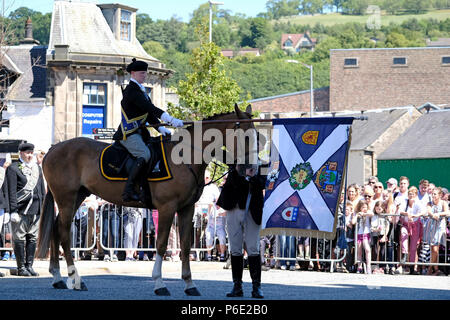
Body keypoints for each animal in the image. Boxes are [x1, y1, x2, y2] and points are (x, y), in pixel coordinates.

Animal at [36, 104, 255, 296]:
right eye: (245, 136)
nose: (252, 168)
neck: (185, 156)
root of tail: (53, 149)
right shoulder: (167, 208)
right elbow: (161, 244)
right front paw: (159, 283)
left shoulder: (187, 209)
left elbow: (185, 246)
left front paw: (189, 285)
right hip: (66, 199)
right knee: (64, 233)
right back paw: (75, 278)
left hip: (76, 197)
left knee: (56, 229)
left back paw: (58, 278)